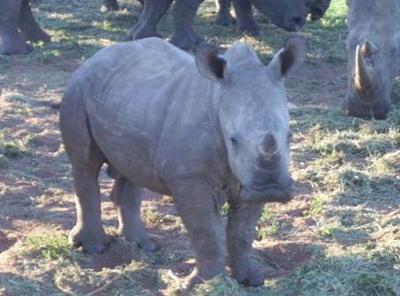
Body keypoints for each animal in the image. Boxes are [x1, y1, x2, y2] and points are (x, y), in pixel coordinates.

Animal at [58, 34, 306, 286]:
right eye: (233, 140)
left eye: (290, 136)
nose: (271, 188)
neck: (219, 98)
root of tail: (96, 56)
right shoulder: (188, 176)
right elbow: (204, 229)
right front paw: (208, 283)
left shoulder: (250, 179)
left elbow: (243, 232)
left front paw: (251, 280)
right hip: (78, 89)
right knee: (85, 163)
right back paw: (93, 248)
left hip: (131, 98)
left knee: (132, 168)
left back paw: (143, 245)